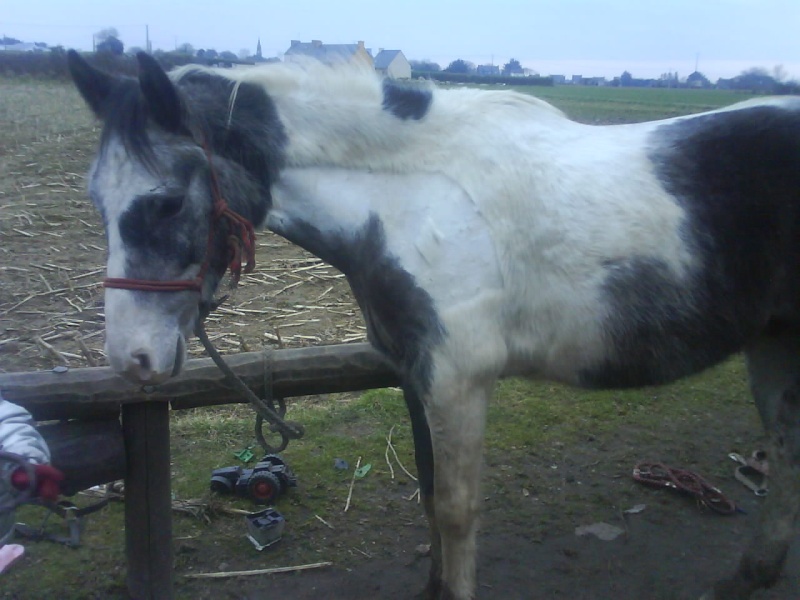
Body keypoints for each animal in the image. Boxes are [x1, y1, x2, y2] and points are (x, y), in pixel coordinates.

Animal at [67, 49, 800, 596]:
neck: (420, 199)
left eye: (164, 203)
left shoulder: (456, 382)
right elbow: (427, 498)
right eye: (96, 199)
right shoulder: (414, 378)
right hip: (773, 346)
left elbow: (454, 509)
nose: (131, 358)